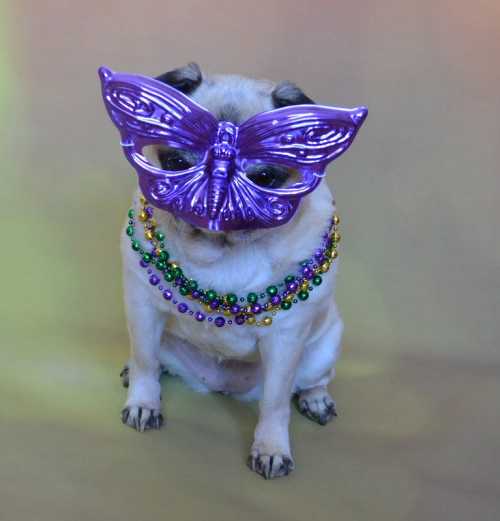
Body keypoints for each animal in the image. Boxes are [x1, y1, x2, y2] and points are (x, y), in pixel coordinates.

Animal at [117, 63, 350, 478]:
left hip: (323, 348)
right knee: (150, 360)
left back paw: (316, 400)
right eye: (177, 163)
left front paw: (271, 448)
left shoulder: (284, 342)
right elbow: (145, 359)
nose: (215, 191)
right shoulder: (142, 309)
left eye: (265, 178)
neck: (220, 250)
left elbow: (275, 403)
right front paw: (143, 402)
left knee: (311, 382)